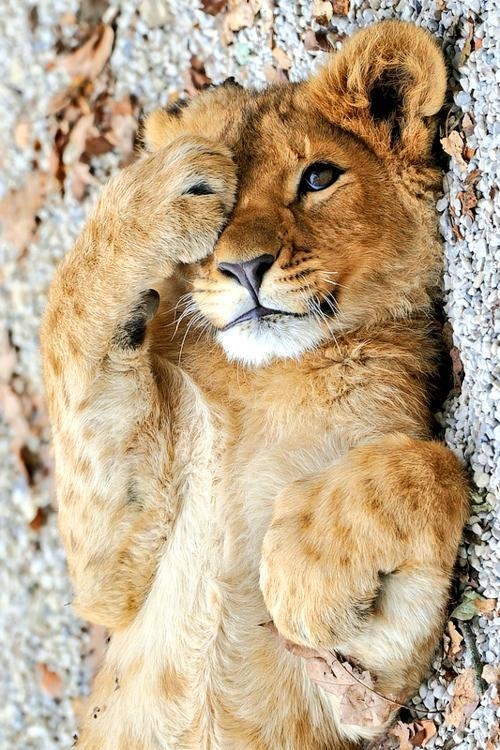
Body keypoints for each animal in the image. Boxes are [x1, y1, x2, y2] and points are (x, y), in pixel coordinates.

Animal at [41, 20, 469, 750]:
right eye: (227, 204)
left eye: (318, 178)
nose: (244, 268)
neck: (277, 379)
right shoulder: (110, 580)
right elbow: (67, 309)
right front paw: (159, 193)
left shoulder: (370, 693)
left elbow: (431, 465)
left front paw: (299, 568)